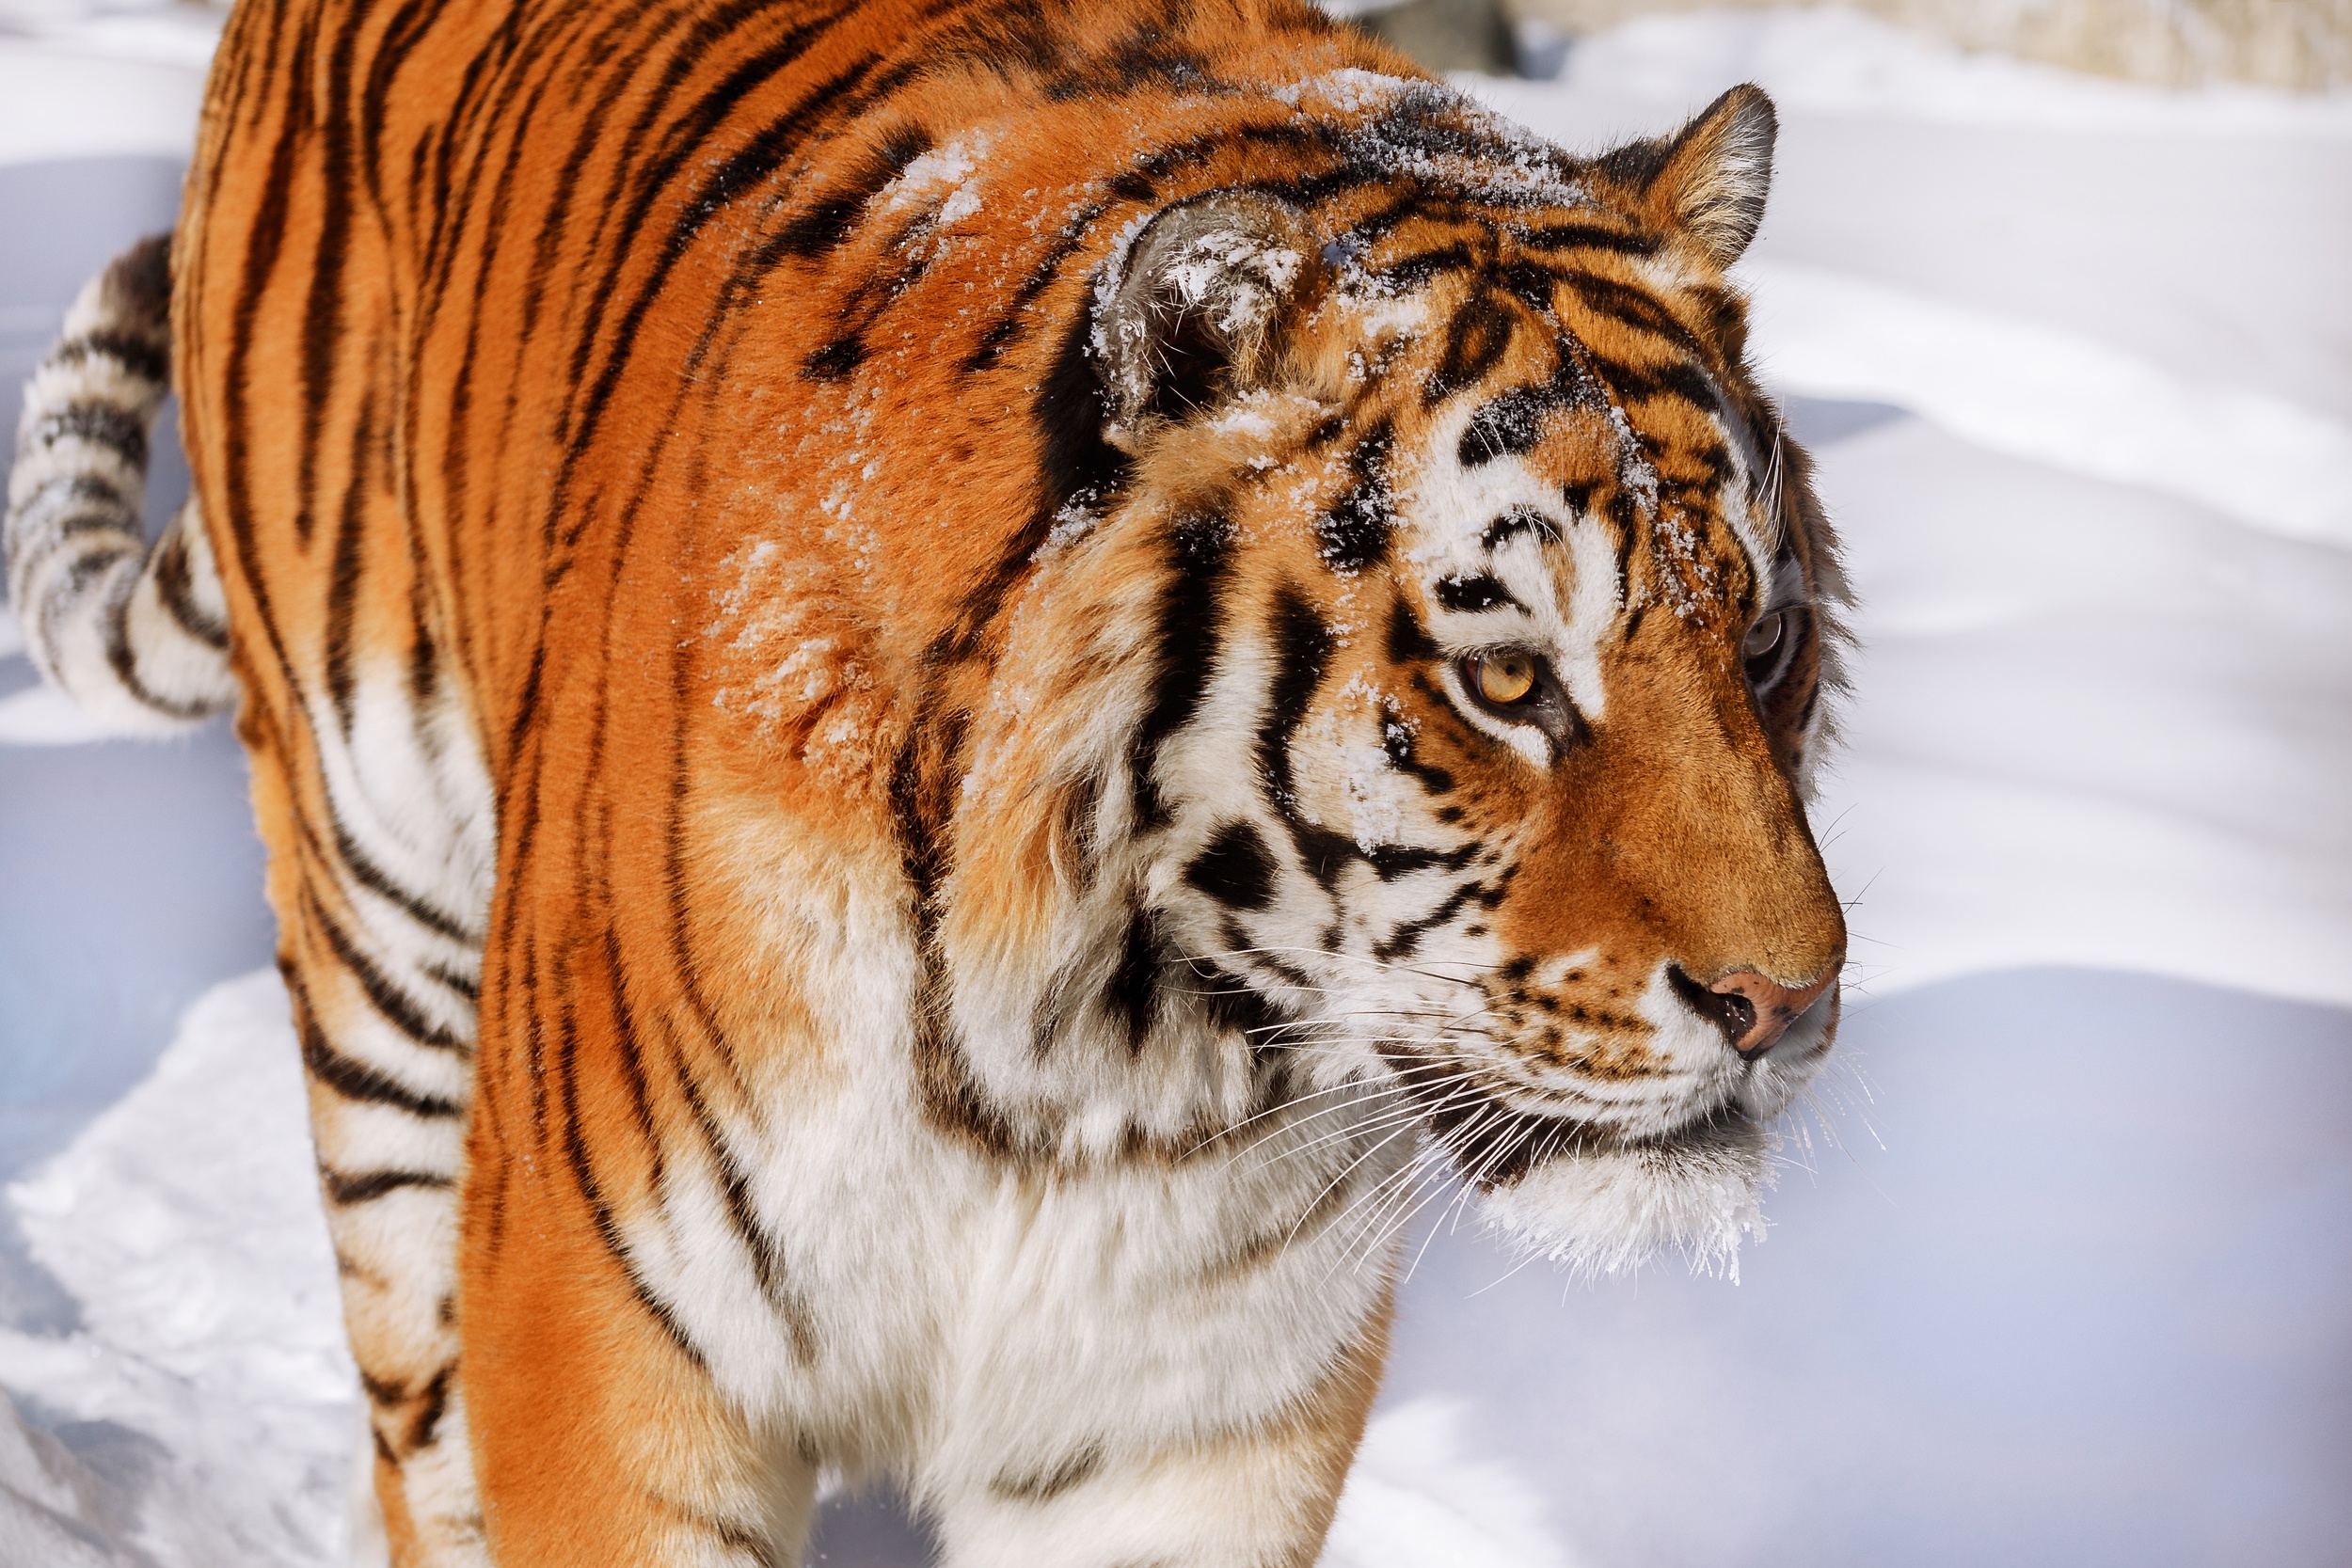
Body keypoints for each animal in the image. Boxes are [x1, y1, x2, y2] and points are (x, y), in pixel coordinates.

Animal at [8, 0, 1853, 1560]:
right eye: (1505, 677)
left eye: (1764, 641)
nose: (1785, 1003)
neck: (1102, 1057)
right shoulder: (616, 1356)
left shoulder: (1191, 1424)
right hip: (383, 964)